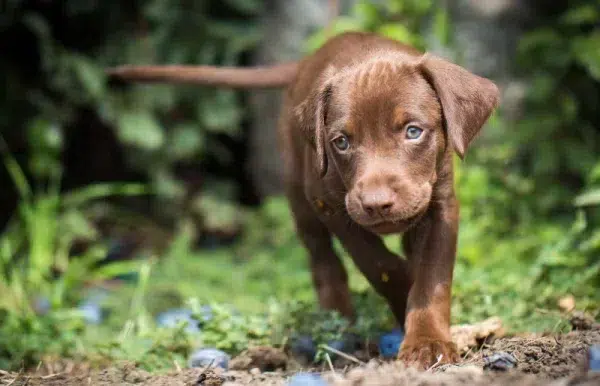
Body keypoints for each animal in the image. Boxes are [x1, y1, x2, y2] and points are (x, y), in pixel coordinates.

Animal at [106, 30, 496, 368]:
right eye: (342, 142)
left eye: (413, 132)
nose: (376, 203)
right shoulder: (331, 205)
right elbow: (375, 262)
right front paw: (402, 289)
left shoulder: (442, 204)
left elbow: (432, 276)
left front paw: (427, 341)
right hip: (299, 197)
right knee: (324, 261)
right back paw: (337, 319)